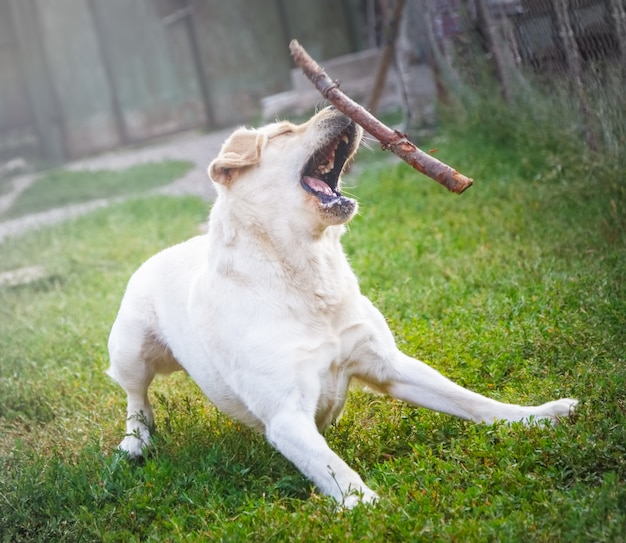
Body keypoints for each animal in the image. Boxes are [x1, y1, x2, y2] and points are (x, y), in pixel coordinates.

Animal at [106, 107, 576, 510]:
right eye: (283, 133)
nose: (344, 108)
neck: (304, 274)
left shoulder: (389, 365)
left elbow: (474, 402)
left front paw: (538, 416)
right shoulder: (286, 416)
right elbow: (335, 469)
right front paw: (370, 507)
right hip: (131, 348)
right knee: (136, 396)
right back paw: (136, 442)